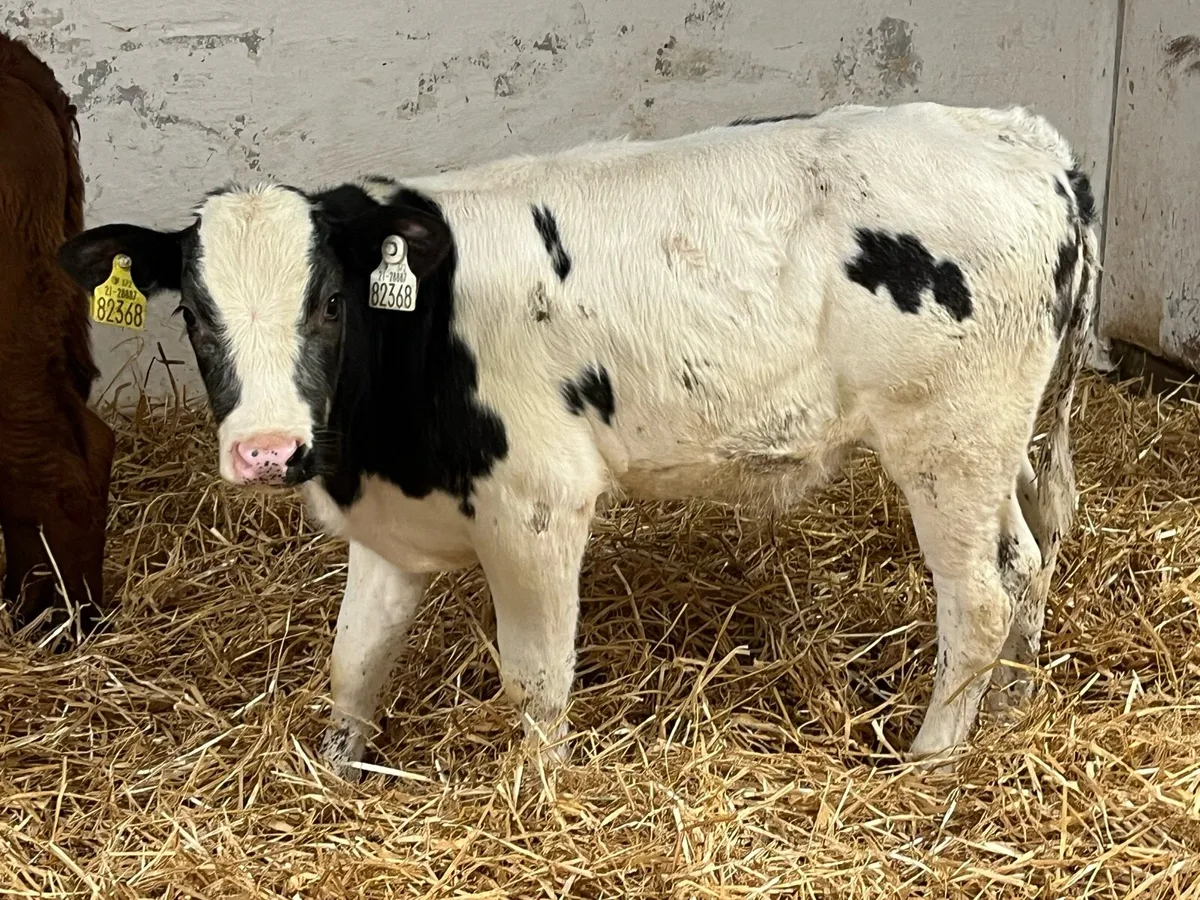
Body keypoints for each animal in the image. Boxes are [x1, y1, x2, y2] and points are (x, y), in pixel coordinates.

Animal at [57, 101, 1098, 778]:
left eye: (327, 302)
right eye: (194, 313)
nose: (268, 448)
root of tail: (1024, 139)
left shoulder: (538, 505)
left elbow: (536, 682)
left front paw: (538, 794)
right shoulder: (392, 524)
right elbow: (353, 665)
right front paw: (329, 776)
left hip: (947, 437)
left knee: (978, 600)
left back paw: (930, 762)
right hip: (995, 441)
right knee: (1027, 562)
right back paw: (1013, 708)